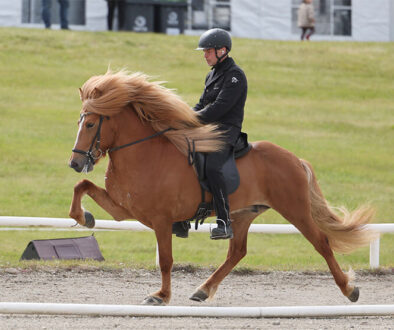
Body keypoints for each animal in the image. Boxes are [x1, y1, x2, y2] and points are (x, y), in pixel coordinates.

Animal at [68, 71, 378, 306]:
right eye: (79, 121)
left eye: (91, 123)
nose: (75, 162)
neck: (144, 154)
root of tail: (294, 159)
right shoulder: (123, 209)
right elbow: (82, 186)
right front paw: (86, 217)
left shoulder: (160, 219)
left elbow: (166, 260)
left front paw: (161, 296)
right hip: (242, 214)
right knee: (236, 252)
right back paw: (202, 290)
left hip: (295, 209)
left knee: (321, 243)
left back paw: (350, 290)